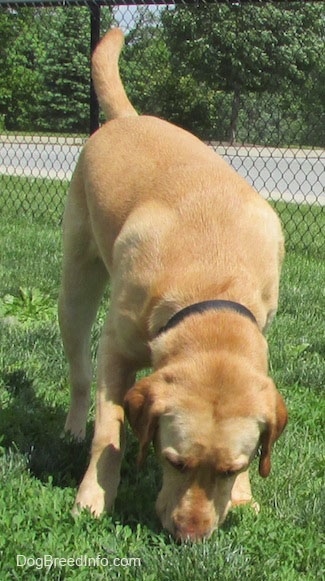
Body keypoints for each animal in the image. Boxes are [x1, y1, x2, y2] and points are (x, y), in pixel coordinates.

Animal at [58, 29, 286, 540]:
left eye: (233, 468)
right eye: (173, 461)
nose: (190, 536)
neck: (211, 285)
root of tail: (128, 119)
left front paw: (243, 499)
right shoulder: (116, 350)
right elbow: (110, 433)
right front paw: (93, 497)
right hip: (76, 287)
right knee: (80, 373)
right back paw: (73, 429)